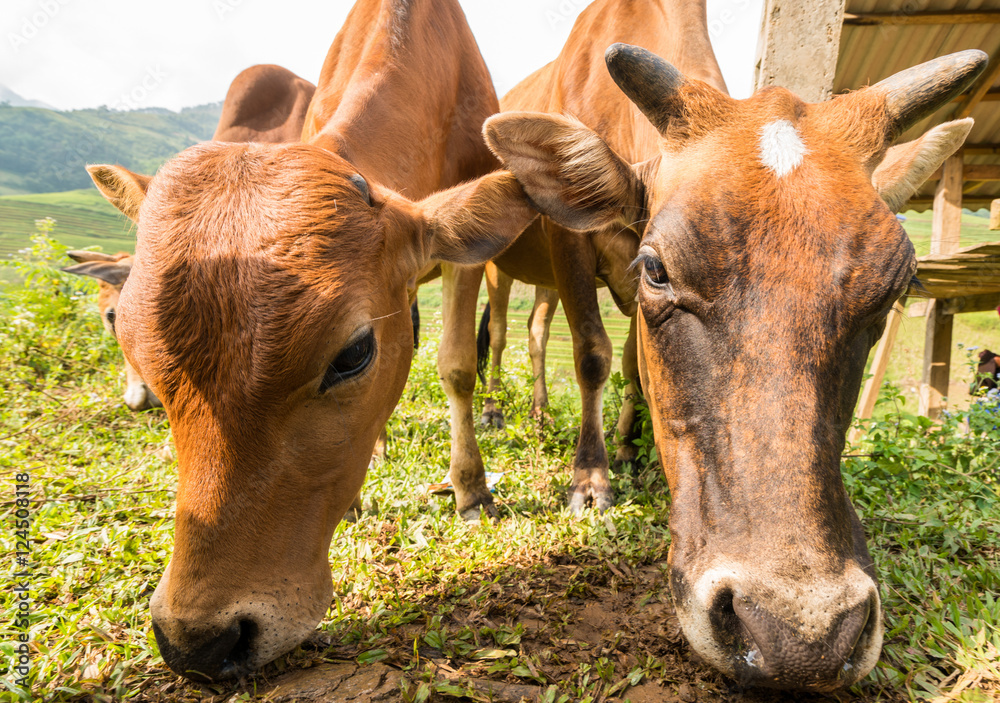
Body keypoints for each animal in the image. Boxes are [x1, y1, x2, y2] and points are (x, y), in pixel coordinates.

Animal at [85, 0, 536, 680]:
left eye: (352, 355)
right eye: (135, 346)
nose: (197, 640)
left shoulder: (466, 260)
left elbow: (456, 365)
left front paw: (471, 489)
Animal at [484, 35, 984, 696]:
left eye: (898, 288)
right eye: (657, 269)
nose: (804, 635)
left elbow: (633, 367)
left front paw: (628, 448)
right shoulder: (571, 248)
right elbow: (592, 353)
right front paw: (591, 480)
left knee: (537, 330)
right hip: (498, 269)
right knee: (498, 333)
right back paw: (499, 412)